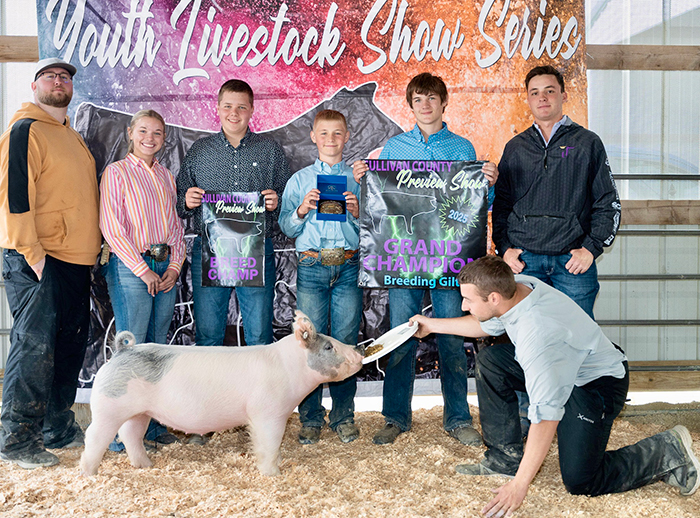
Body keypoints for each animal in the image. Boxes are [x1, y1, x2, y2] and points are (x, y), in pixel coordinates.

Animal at [80, 311, 364, 477]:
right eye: (328, 347)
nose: (359, 351)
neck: (289, 368)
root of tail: (121, 351)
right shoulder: (267, 413)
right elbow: (269, 443)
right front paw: (273, 474)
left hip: (139, 412)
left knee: (130, 434)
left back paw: (146, 466)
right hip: (108, 407)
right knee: (94, 436)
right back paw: (88, 473)